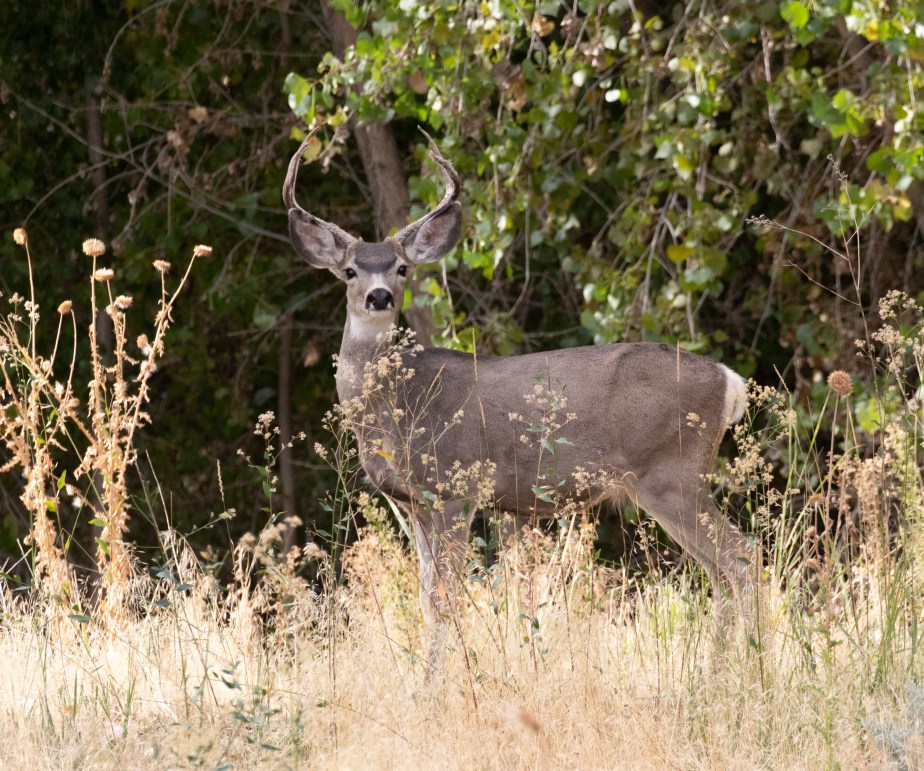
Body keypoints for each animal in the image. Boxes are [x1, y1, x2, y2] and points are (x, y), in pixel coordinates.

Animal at [284, 129, 754, 669]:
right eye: (348, 271)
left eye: (401, 268)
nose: (378, 296)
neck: (399, 404)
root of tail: (729, 381)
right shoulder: (415, 501)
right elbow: (425, 598)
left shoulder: (455, 487)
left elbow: (445, 599)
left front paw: (438, 679)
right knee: (722, 570)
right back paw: (720, 668)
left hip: (672, 472)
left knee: (741, 559)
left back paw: (744, 666)